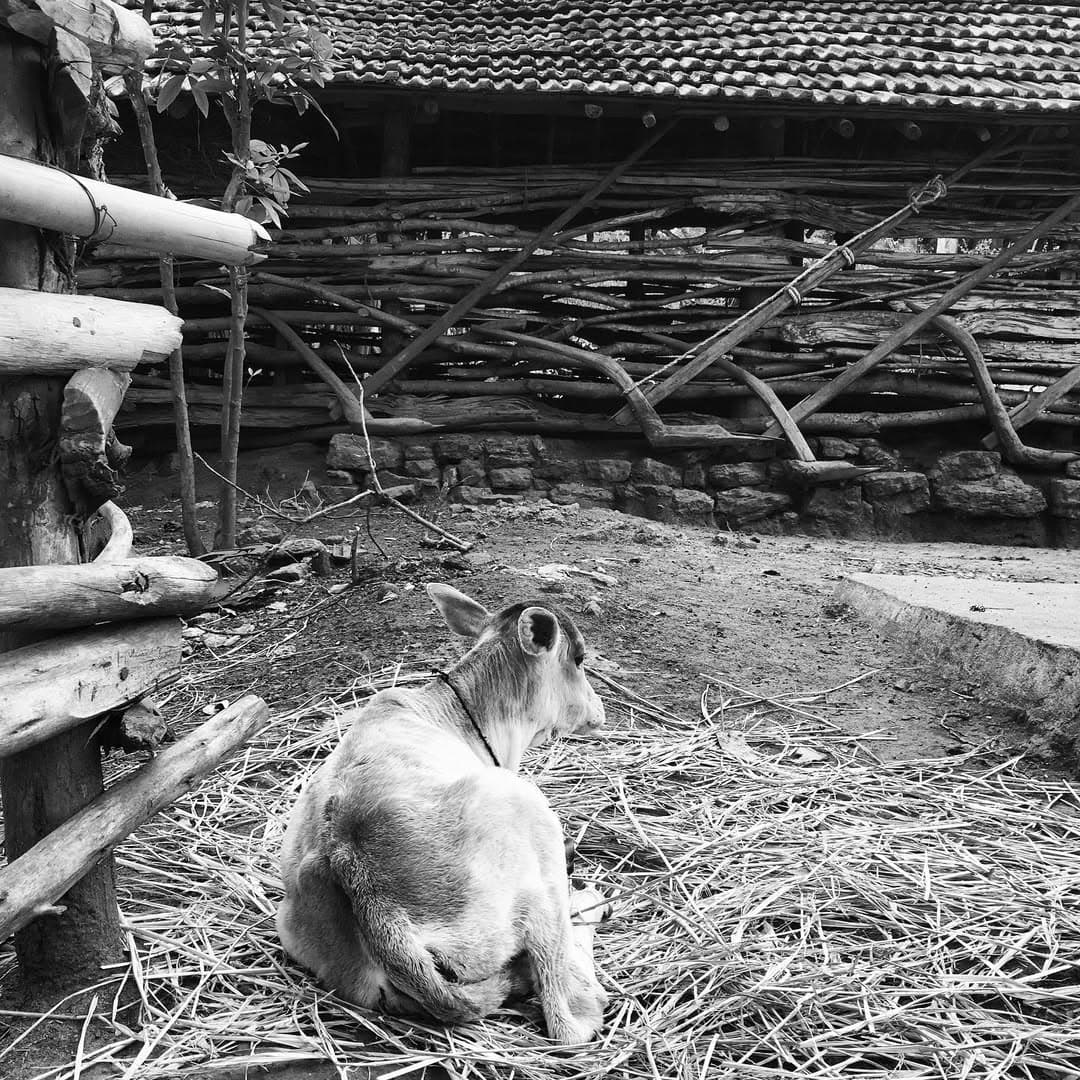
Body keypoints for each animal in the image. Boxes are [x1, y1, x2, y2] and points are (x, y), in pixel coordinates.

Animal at [278, 587, 613, 1041]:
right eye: (579, 658)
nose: (599, 711)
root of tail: (352, 864)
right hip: (533, 827)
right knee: (570, 1010)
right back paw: (590, 906)